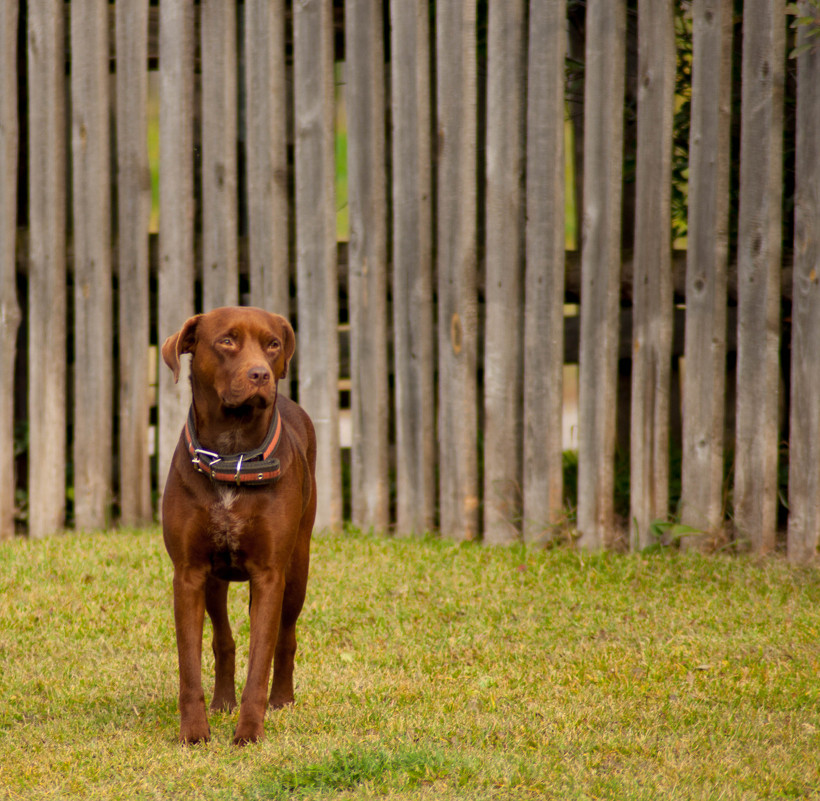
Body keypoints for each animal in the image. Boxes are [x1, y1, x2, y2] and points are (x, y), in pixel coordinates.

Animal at [161, 306, 318, 744]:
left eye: (273, 344)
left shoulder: (269, 575)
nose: (261, 374)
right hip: (214, 583)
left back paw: (282, 698)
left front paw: (249, 731)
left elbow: (261, 659)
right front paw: (195, 732)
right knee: (224, 639)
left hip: (297, 570)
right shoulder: (189, 574)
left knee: (285, 637)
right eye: (227, 341)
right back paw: (222, 702)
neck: (233, 456)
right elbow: (190, 665)